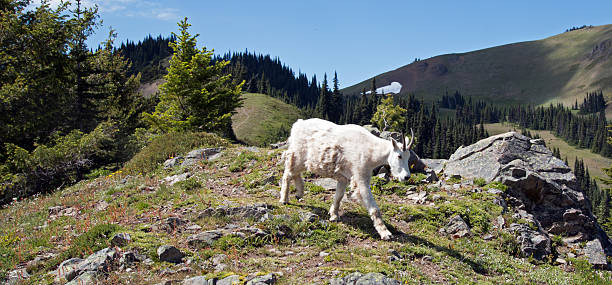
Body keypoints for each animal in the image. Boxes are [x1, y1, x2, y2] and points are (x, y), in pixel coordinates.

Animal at [278, 118, 414, 240]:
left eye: (408, 157)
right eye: (399, 156)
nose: (406, 177)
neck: (371, 152)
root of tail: (297, 124)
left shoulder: (344, 178)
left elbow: (338, 196)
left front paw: (334, 215)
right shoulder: (360, 176)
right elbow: (373, 207)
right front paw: (385, 233)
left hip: (303, 161)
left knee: (295, 173)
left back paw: (299, 193)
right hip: (298, 155)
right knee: (288, 174)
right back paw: (284, 199)